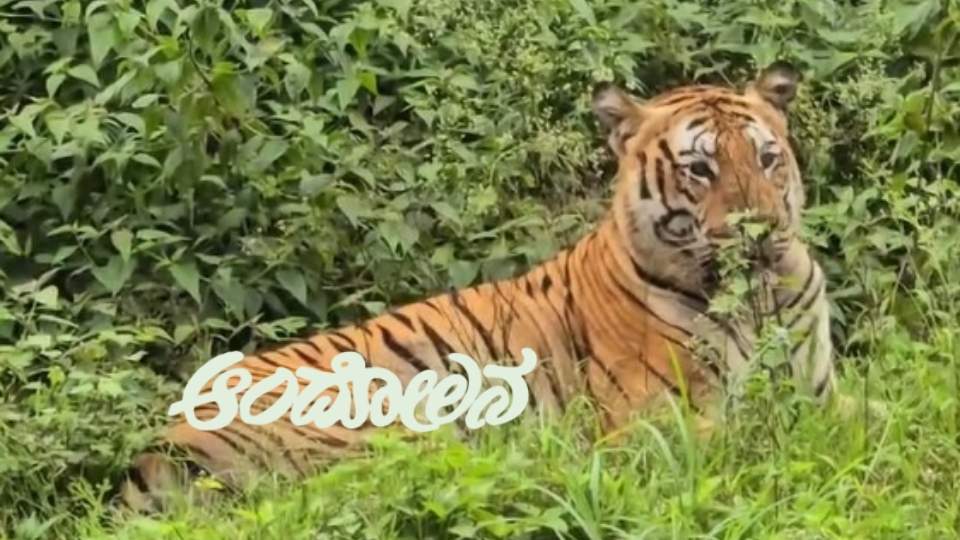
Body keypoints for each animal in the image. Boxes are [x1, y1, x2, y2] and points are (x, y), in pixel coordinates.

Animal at [120, 62, 838, 511]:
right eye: (698, 169)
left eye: (767, 158)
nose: (762, 230)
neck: (759, 300)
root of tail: (156, 447)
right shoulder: (663, 423)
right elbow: (760, 442)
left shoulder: (820, 389)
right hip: (389, 433)